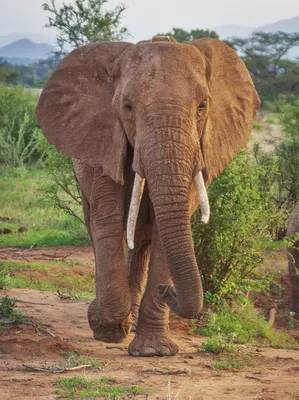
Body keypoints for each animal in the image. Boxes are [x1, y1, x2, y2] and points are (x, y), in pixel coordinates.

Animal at [35, 36, 260, 358]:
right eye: (127, 107)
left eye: (203, 106)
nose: (168, 290)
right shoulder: (104, 142)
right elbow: (108, 223)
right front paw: (103, 323)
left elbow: (165, 234)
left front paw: (154, 351)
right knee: (100, 230)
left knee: (141, 243)